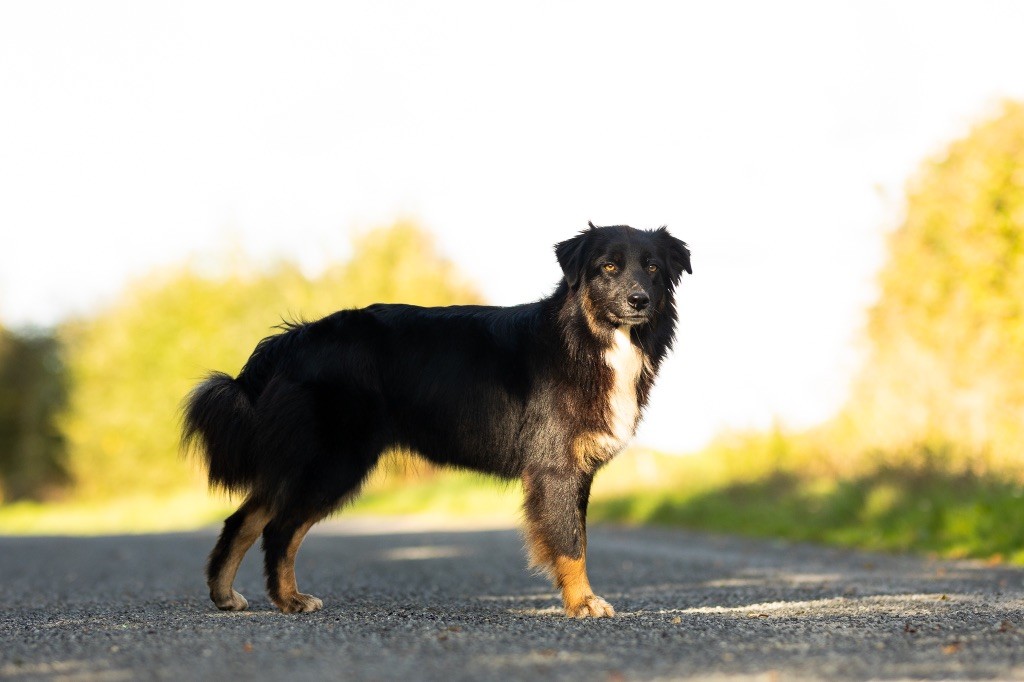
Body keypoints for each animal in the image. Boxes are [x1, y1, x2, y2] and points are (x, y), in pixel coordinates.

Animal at [183, 223, 692, 614]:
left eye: (653, 268)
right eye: (608, 266)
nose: (639, 300)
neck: (587, 340)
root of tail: (294, 338)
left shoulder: (576, 470)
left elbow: (574, 539)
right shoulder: (557, 468)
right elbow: (570, 542)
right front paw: (583, 603)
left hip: (306, 460)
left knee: (244, 518)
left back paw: (225, 595)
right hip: (334, 461)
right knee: (278, 529)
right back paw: (289, 600)